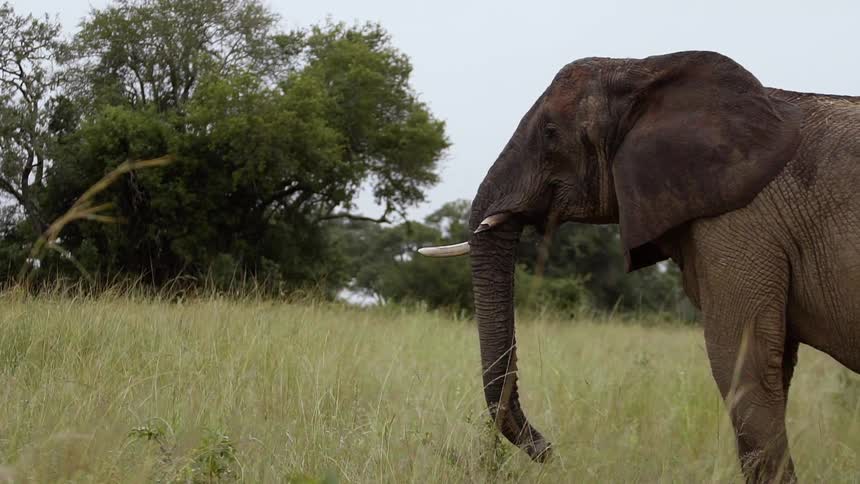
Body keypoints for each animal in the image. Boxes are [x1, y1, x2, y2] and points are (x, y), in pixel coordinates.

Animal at [418, 51, 860, 483]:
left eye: (550, 133)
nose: (549, 451)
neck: (645, 68)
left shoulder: (740, 220)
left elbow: (741, 363)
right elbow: (771, 368)